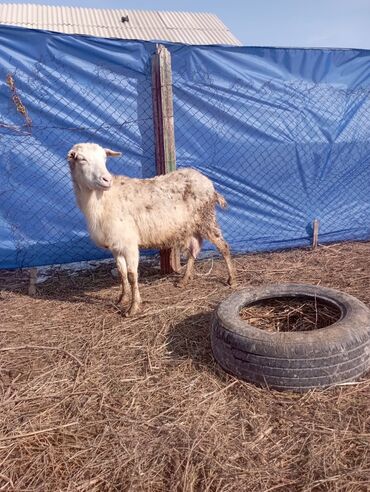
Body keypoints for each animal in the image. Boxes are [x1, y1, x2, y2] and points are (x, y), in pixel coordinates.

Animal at [67, 144, 236, 318]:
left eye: (104, 158)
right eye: (81, 159)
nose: (107, 180)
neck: (102, 200)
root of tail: (208, 182)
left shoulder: (129, 243)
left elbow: (132, 275)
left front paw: (133, 307)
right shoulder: (115, 245)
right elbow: (121, 273)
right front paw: (122, 299)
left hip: (206, 218)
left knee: (223, 246)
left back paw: (232, 279)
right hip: (190, 225)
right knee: (193, 249)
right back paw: (184, 280)